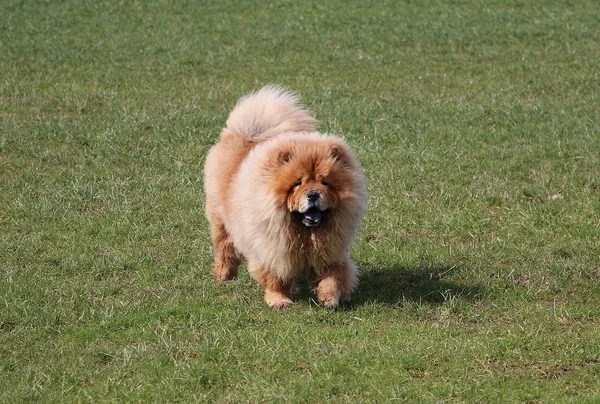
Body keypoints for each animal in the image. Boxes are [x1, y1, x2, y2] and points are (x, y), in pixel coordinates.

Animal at [205, 86, 366, 310]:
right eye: (297, 183)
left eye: (325, 183)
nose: (313, 194)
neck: (305, 233)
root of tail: (242, 134)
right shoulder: (271, 248)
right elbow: (274, 277)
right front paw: (279, 301)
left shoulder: (332, 249)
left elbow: (335, 274)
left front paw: (329, 298)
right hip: (219, 220)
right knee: (225, 249)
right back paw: (224, 276)